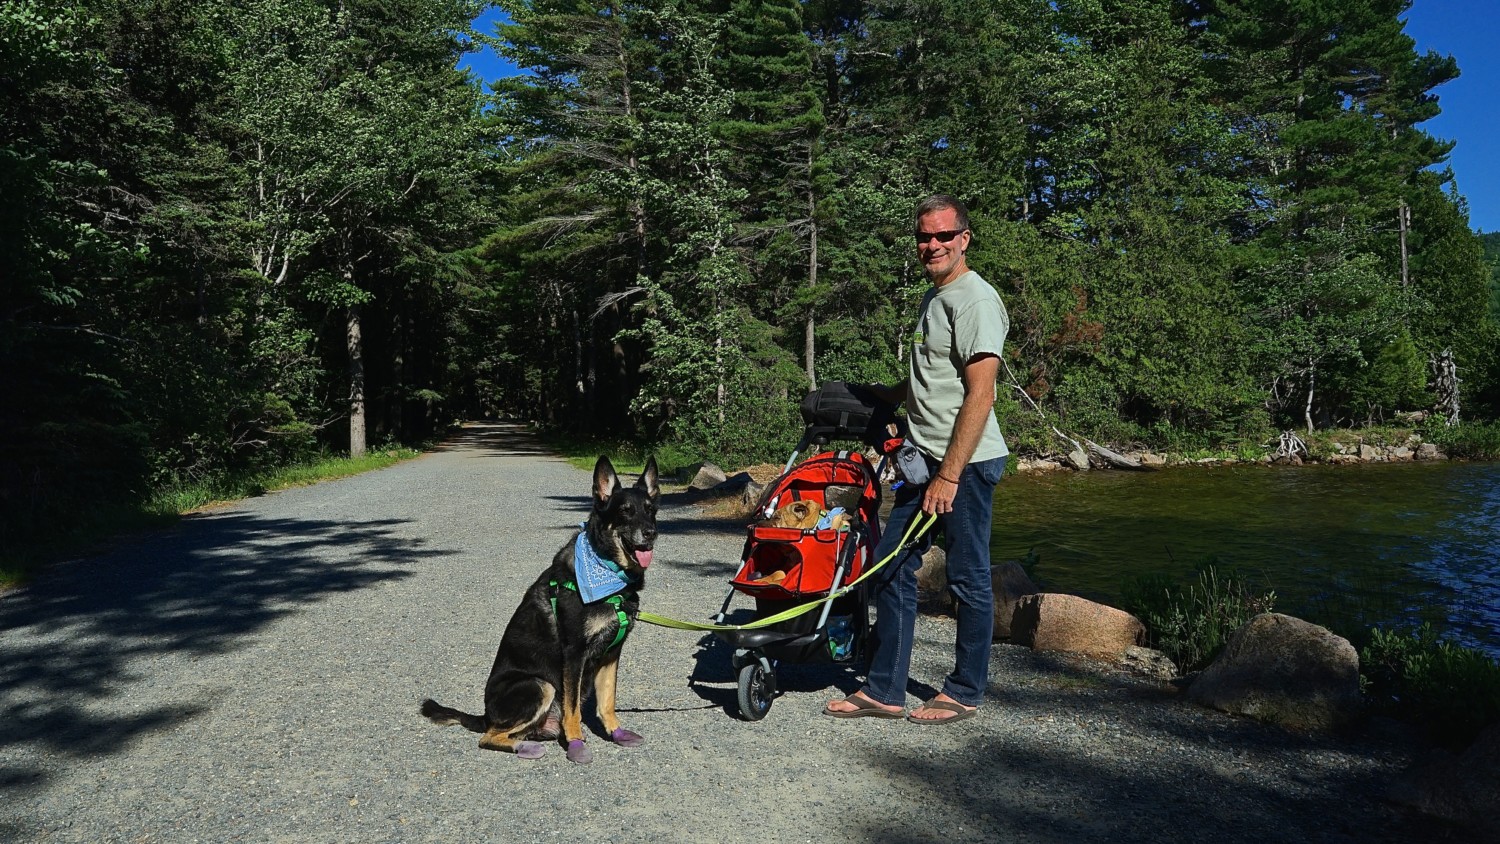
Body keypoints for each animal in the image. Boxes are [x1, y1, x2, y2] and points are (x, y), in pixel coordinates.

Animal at [423, 458, 657, 761]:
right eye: (625, 511)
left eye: (651, 510)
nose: (651, 533)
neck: (608, 576)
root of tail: (485, 715)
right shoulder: (574, 654)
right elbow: (573, 710)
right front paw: (576, 744)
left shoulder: (611, 652)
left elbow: (607, 702)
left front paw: (616, 733)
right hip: (538, 685)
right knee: (488, 737)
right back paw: (525, 748)